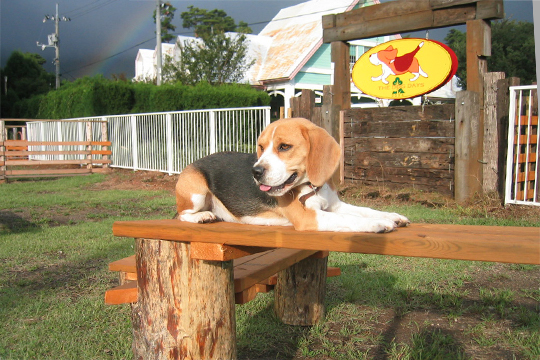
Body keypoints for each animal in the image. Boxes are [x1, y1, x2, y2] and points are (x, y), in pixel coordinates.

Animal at [177, 116, 410, 232]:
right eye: (261, 147)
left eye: (284, 147)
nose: (255, 172)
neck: (312, 186)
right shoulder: (309, 218)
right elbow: (349, 218)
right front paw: (378, 223)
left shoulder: (335, 206)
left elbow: (364, 210)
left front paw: (392, 216)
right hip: (196, 192)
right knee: (181, 215)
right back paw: (203, 216)